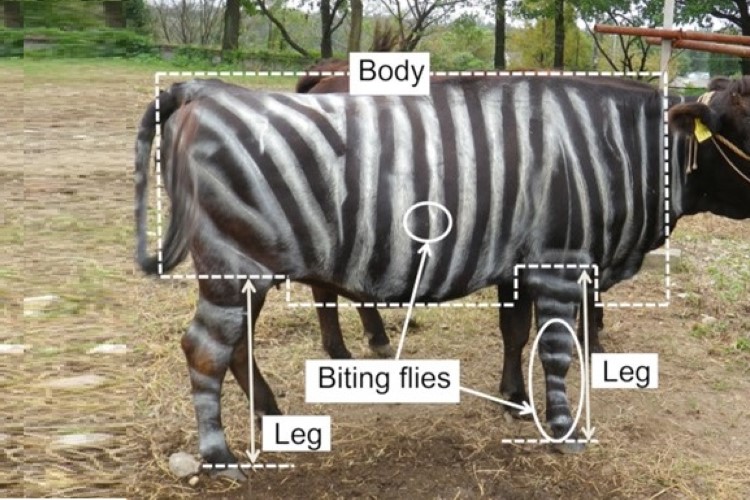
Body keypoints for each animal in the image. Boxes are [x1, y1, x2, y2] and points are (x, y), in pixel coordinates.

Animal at [135, 75, 750, 470]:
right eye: (744, 132)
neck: (612, 153)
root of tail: (205, 91)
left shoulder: (519, 264)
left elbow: (514, 333)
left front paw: (515, 403)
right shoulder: (557, 261)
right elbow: (554, 350)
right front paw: (561, 429)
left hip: (251, 269)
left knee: (236, 346)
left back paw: (268, 412)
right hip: (235, 262)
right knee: (205, 350)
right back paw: (219, 455)